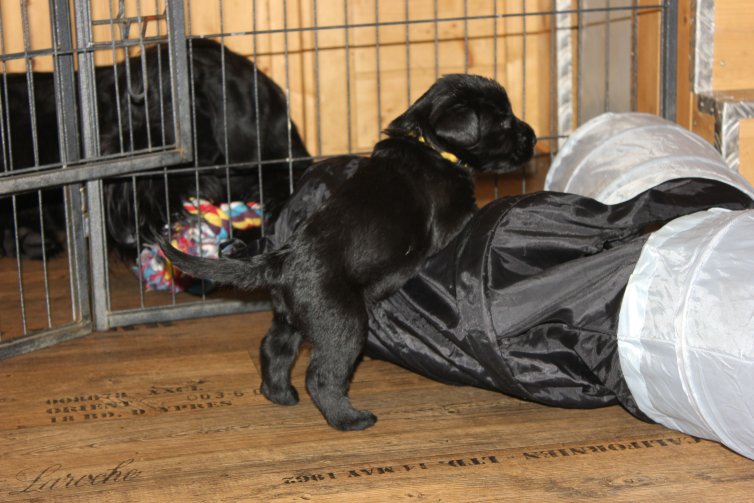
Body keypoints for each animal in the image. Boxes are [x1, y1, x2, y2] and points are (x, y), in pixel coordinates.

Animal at [162, 73, 536, 432]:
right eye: (503, 121)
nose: (533, 137)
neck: (426, 143)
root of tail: (281, 260)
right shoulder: (453, 218)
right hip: (344, 321)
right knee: (321, 376)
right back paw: (350, 420)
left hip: (290, 316)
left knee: (274, 348)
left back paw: (280, 395)